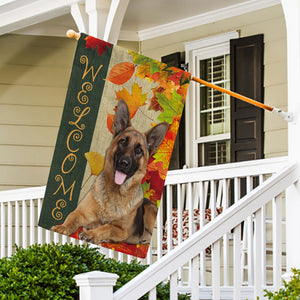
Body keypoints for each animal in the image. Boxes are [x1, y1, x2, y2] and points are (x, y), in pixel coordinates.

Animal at [51, 99, 169, 245]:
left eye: (139, 150)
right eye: (123, 141)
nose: (124, 163)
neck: (114, 193)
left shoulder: (122, 231)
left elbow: (107, 227)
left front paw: (91, 234)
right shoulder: (81, 213)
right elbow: (71, 217)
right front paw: (63, 227)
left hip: (150, 211)